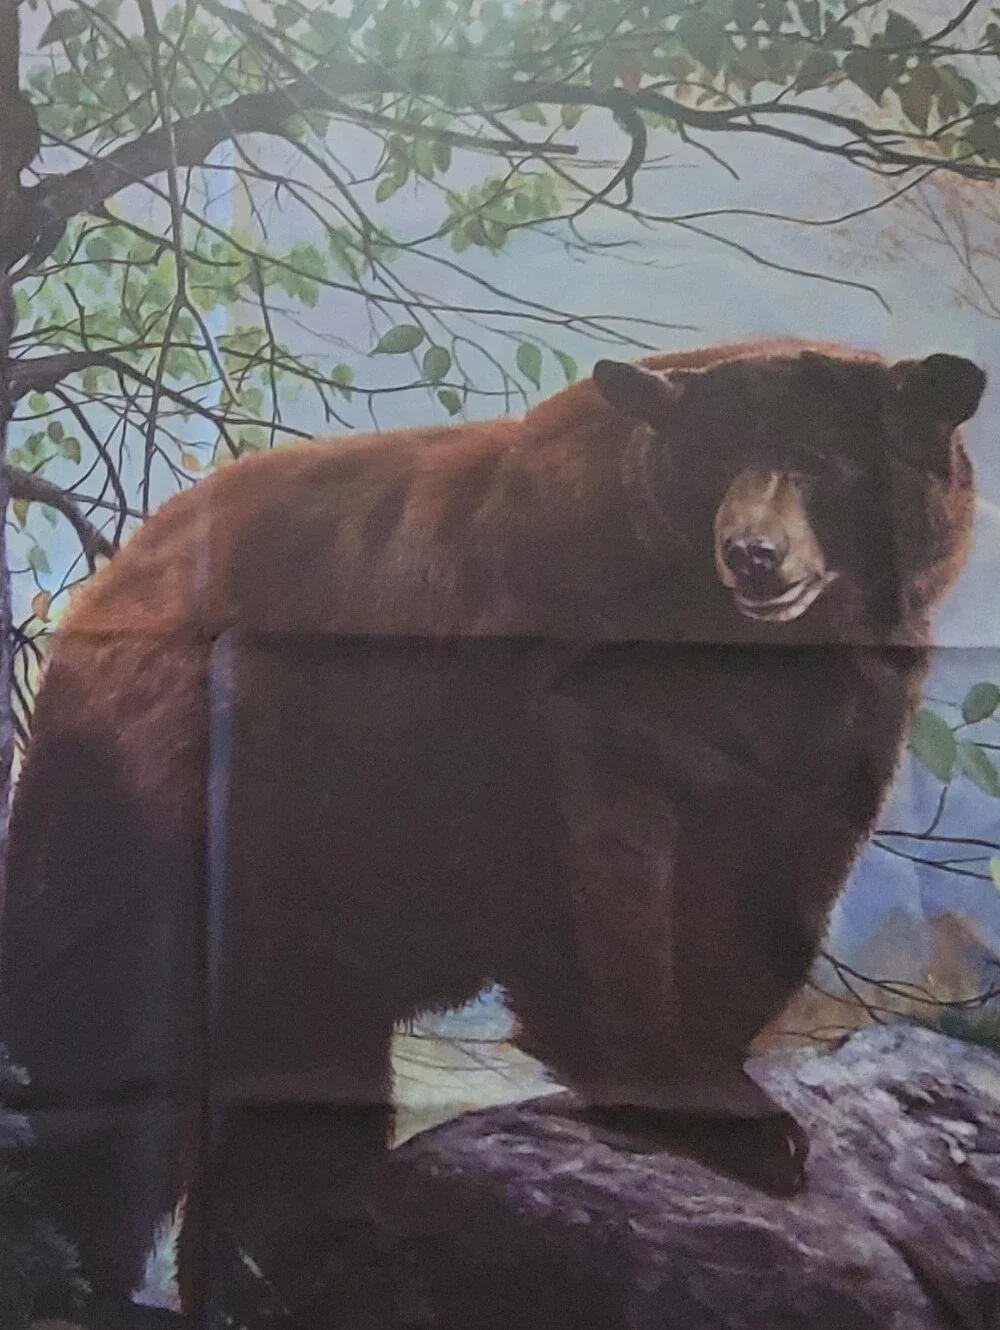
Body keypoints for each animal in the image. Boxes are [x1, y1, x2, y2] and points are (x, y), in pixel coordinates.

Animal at [0, 338, 987, 1328]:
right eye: (714, 461)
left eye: (818, 464)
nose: (753, 555)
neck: (729, 652)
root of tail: (105, 593)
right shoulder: (557, 683)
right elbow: (594, 875)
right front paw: (706, 1103)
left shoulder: (842, 712)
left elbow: (772, 877)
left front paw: (730, 1065)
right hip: (170, 794)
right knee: (107, 1037)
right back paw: (79, 1270)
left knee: (295, 1075)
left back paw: (288, 1268)